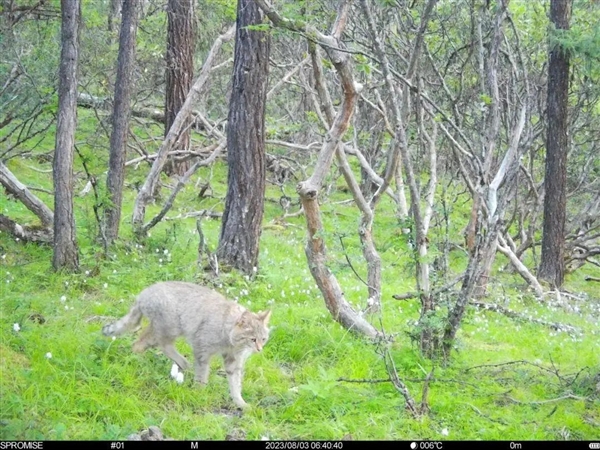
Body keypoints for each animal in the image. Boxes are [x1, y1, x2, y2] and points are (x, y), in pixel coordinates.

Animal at [103, 282, 272, 408]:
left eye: (263, 339)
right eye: (252, 339)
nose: (259, 349)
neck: (230, 340)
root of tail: (143, 293)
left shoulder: (233, 361)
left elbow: (235, 383)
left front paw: (240, 402)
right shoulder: (201, 348)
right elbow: (202, 373)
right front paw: (200, 392)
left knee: (153, 342)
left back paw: (183, 364)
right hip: (170, 327)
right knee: (146, 342)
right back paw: (139, 358)